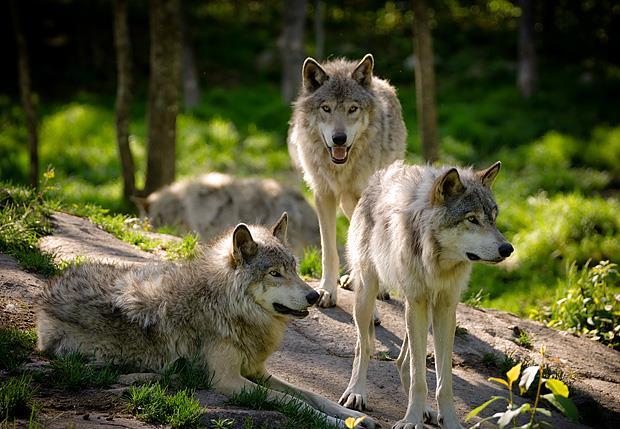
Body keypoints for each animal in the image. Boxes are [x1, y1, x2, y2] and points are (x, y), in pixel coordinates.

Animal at [38, 214, 376, 428]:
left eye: (294, 268)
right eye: (274, 273)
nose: (314, 296)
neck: (224, 304)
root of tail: (48, 291)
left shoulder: (258, 371)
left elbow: (314, 395)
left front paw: (355, 417)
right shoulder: (228, 380)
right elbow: (294, 402)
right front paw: (336, 423)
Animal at [290, 53, 406, 308]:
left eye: (353, 109)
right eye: (326, 108)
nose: (339, 138)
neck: (341, 168)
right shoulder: (323, 195)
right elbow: (329, 250)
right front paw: (326, 291)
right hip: (345, 203)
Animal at [340, 161, 512, 428]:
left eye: (493, 219)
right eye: (472, 219)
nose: (508, 248)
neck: (436, 262)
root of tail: (380, 175)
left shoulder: (445, 308)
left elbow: (443, 380)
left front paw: (449, 420)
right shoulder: (417, 303)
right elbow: (419, 378)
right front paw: (411, 420)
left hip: (421, 311)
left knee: (402, 362)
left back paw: (426, 410)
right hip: (368, 295)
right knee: (363, 347)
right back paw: (356, 393)